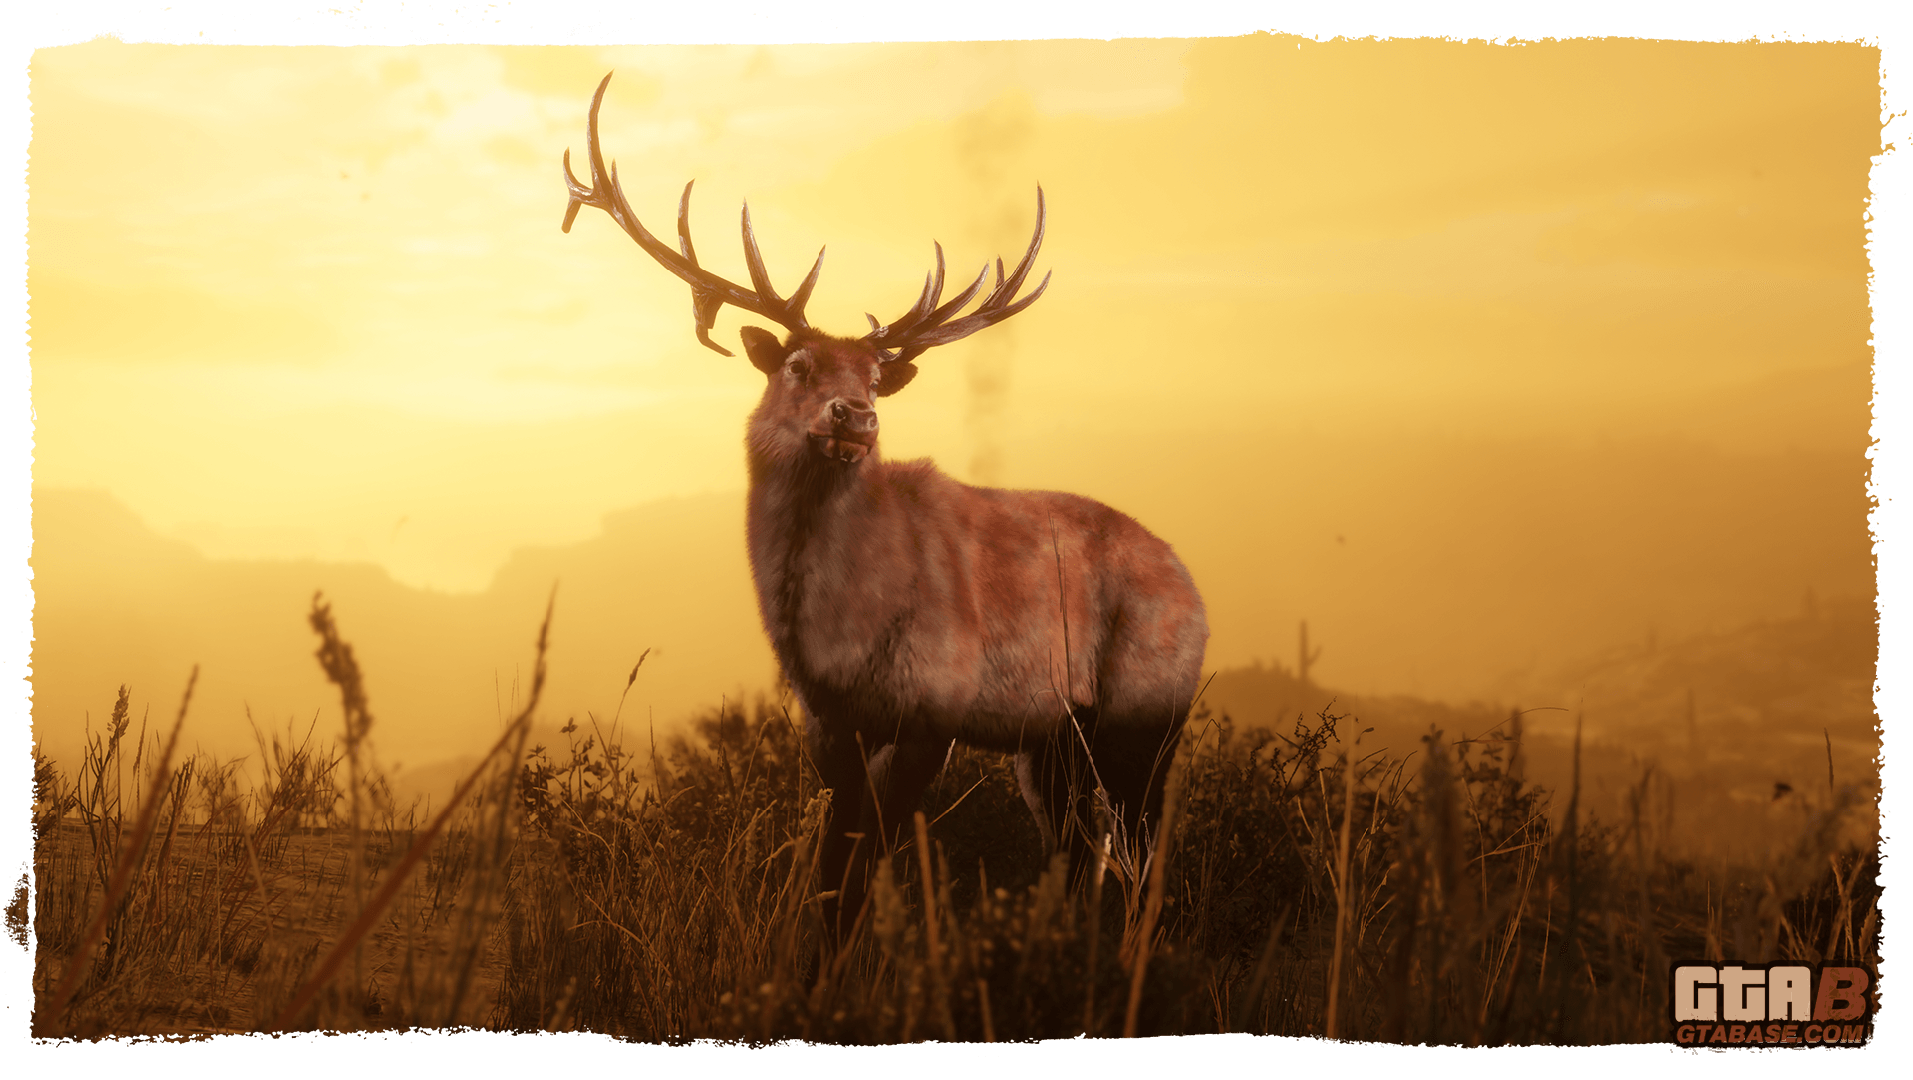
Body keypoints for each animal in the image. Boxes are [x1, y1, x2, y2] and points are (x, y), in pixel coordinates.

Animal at [563, 74, 1209, 939]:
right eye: (798, 364)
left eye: (873, 376)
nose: (856, 417)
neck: (833, 630)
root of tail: (1194, 586)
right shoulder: (826, 717)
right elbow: (834, 869)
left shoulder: (932, 705)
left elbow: (870, 857)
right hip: (1052, 742)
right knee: (1082, 851)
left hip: (1146, 712)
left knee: (1140, 850)